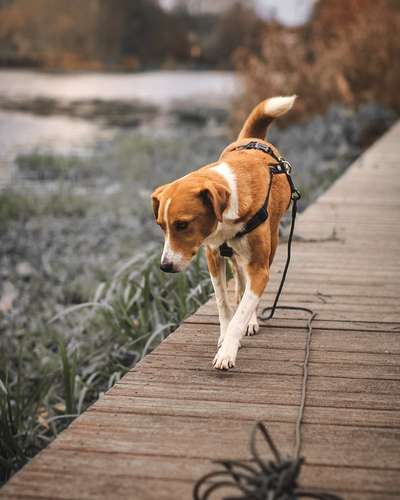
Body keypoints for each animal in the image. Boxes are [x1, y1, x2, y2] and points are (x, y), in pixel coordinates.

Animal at [152, 95, 296, 372]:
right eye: (161, 226)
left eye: (182, 225)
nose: (165, 266)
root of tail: (253, 138)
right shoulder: (212, 255)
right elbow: (223, 302)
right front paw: (224, 334)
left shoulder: (259, 268)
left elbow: (242, 311)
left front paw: (229, 348)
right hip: (234, 258)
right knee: (239, 279)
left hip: (270, 245)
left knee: (248, 288)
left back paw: (251, 319)